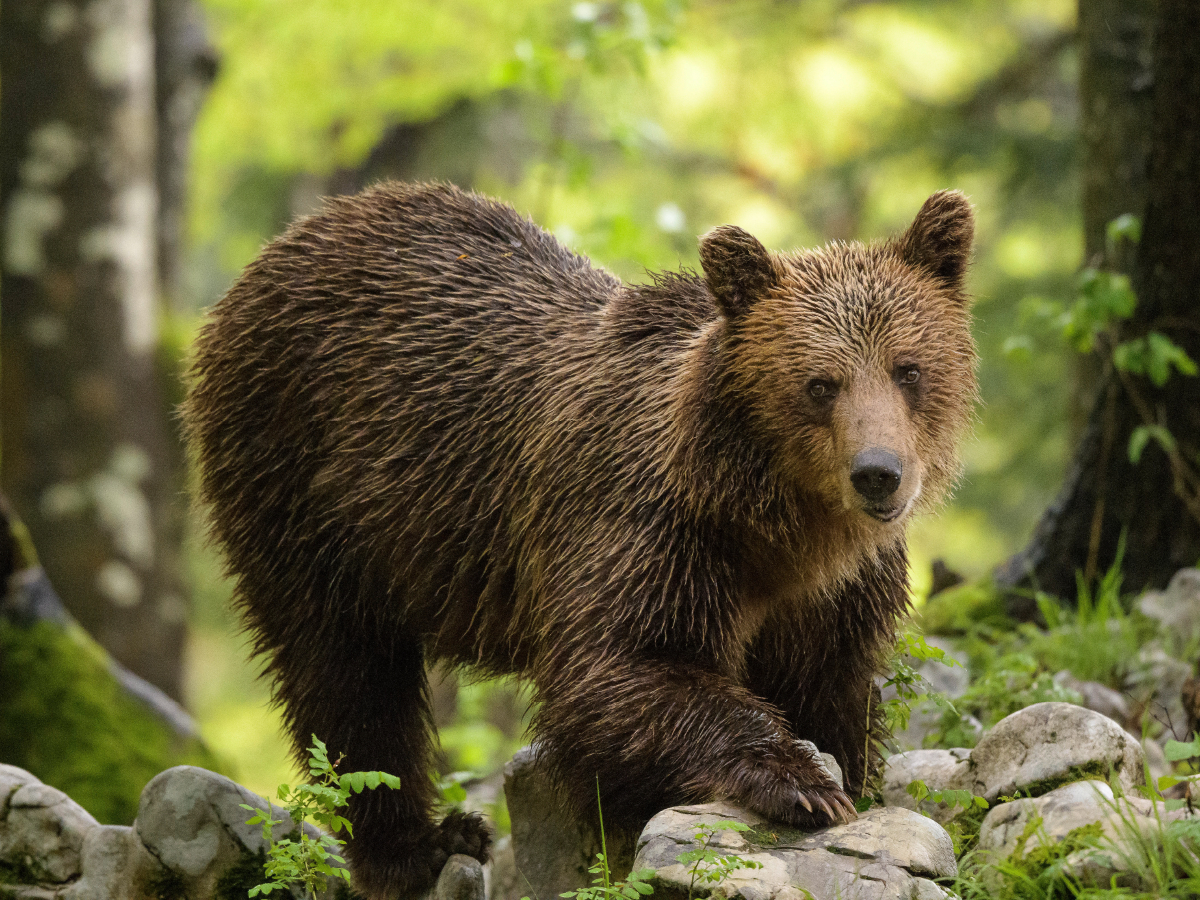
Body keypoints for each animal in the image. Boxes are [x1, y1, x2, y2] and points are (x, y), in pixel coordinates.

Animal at [184, 183, 974, 900]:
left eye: (908, 369)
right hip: (302, 481)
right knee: (344, 669)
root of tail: (292, 240)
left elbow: (834, 691)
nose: (878, 474)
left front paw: (852, 781)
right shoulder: (642, 525)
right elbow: (622, 669)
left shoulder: (834, 596)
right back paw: (420, 847)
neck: (778, 525)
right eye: (819, 383)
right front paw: (801, 782)